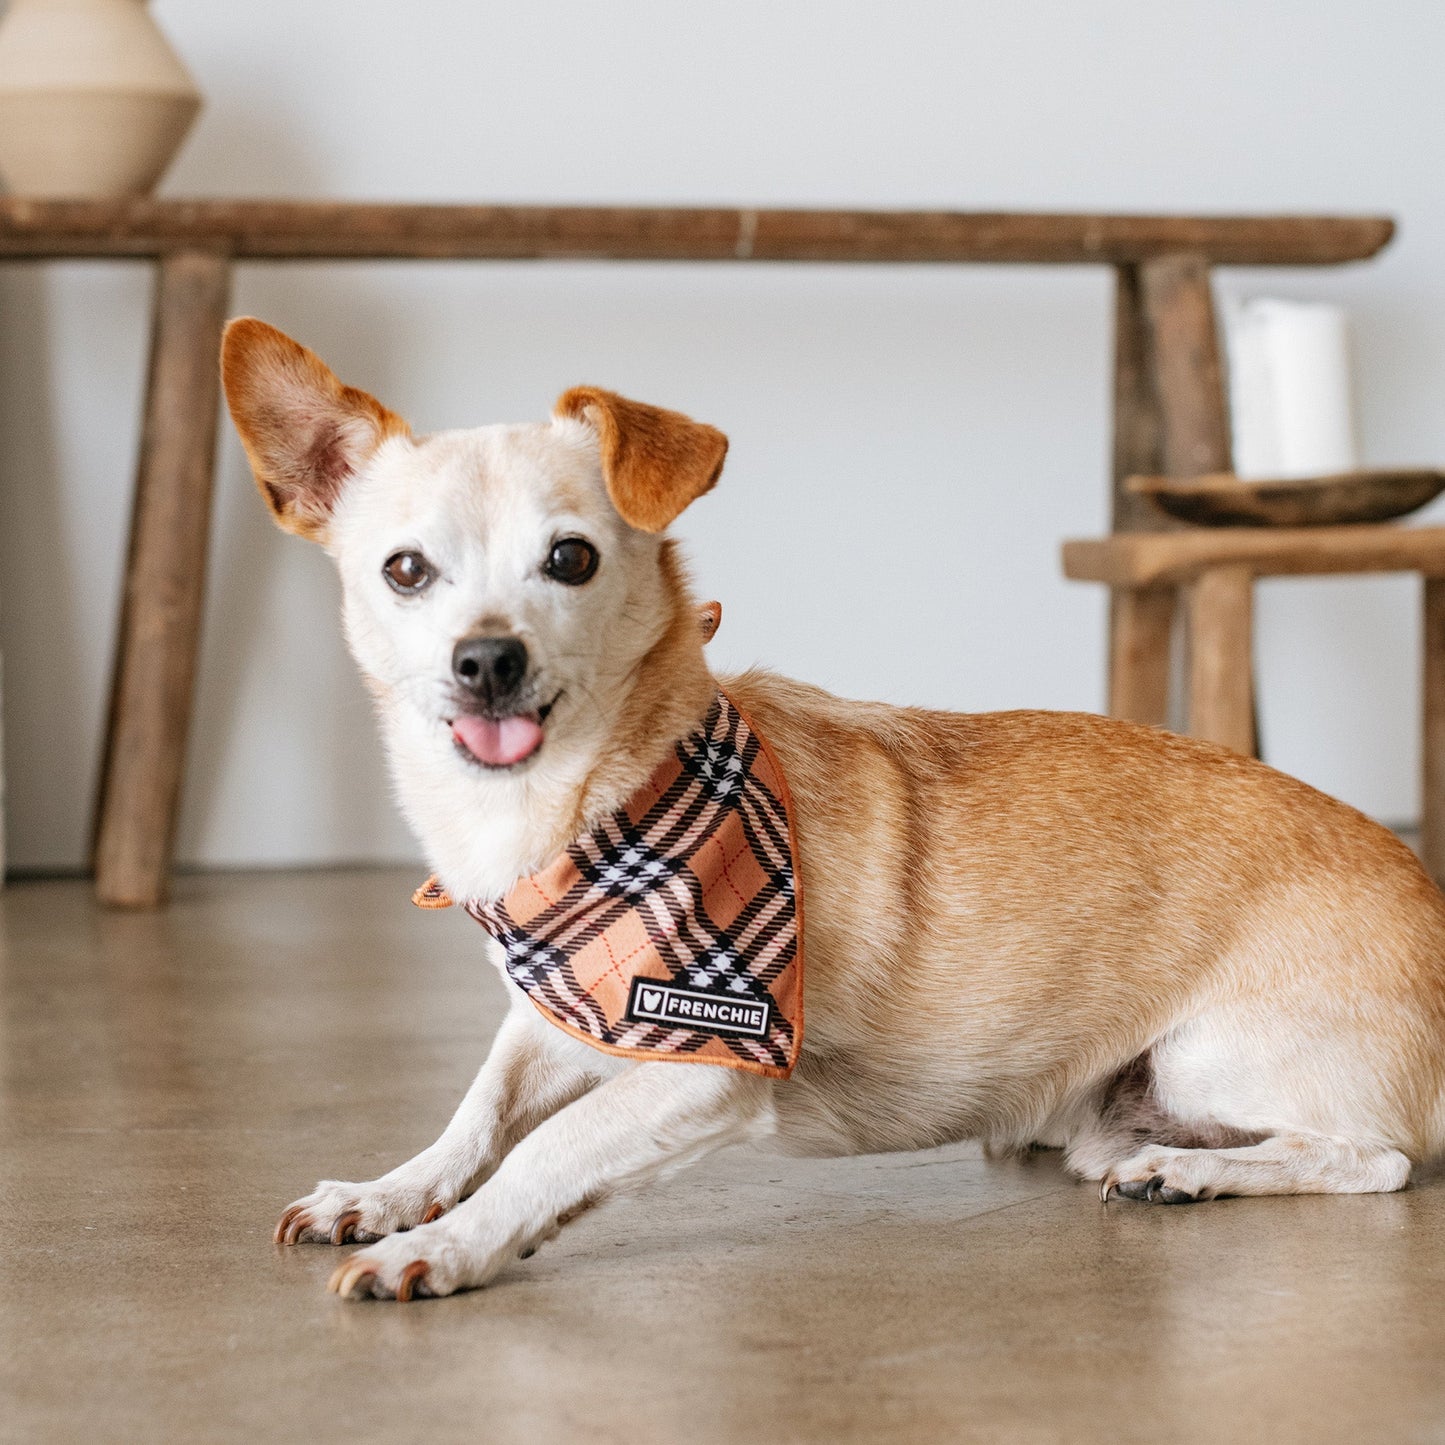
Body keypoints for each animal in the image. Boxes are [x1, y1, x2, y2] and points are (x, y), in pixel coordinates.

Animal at [216, 322, 1445, 1306]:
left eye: (569, 558)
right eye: (404, 570)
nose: (485, 659)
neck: (588, 810)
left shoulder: (711, 1062)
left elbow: (546, 1149)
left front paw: (447, 1242)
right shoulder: (560, 1007)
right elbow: (480, 1107)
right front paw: (390, 1191)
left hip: (1211, 1057)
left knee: (1372, 1158)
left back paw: (1190, 1168)